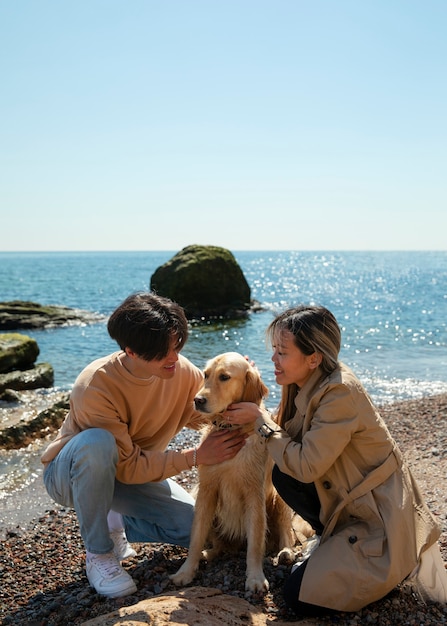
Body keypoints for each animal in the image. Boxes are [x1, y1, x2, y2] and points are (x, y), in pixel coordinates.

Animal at [170, 352, 310, 588]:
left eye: (224, 377)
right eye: (205, 375)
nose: (197, 400)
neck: (231, 428)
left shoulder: (254, 494)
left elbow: (255, 542)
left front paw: (255, 577)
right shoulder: (206, 491)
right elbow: (196, 536)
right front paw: (186, 571)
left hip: (278, 501)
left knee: (287, 536)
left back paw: (285, 553)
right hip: (198, 494)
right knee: (219, 546)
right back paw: (208, 554)